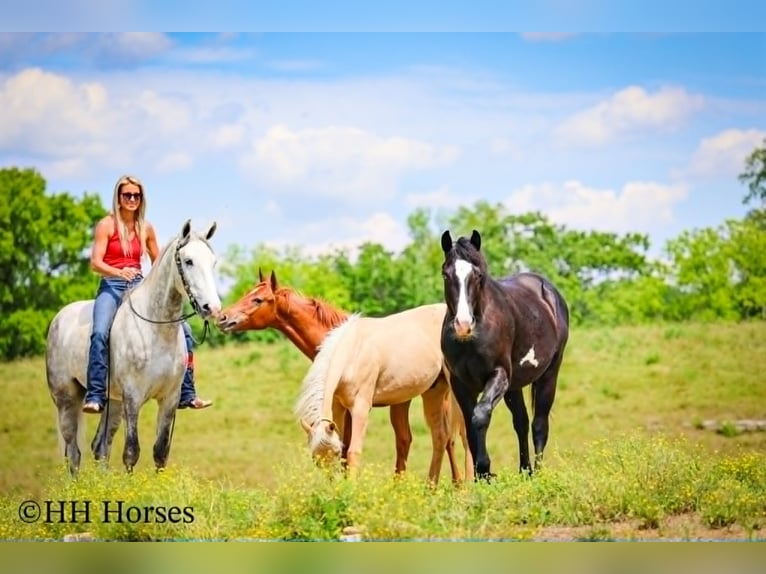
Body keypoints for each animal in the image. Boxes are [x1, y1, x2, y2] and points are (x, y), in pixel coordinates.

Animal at [45, 220, 222, 475]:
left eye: (213, 262)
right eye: (188, 261)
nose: (213, 308)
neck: (156, 329)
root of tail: (59, 318)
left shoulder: (169, 399)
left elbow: (160, 452)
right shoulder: (133, 397)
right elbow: (131, 452)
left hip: (113, 403)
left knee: (100, 446)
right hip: (67, 399)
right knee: (73, 453)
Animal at [217, 269, 471, 482]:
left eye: (258, 299)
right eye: (247, 293)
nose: (222, 318)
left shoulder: (359, 407)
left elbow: (351, 450)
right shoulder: (341, 407)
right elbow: (349, 449)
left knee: (458, 435)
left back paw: (464, 485)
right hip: (431, 391)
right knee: (439, 436)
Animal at [439, 229, 570, 480]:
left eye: (478, 275)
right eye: (446, 274)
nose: (463, 325)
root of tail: (549, 292)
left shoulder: (498, 374)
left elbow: (480, 415)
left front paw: (484, 469)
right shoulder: (460, 383)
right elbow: (470, 426)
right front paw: (482, 476)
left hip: (549, 375)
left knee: (539, 424)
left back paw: (538, 474)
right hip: (514, 385)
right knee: (521, 422)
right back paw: (525, 471)